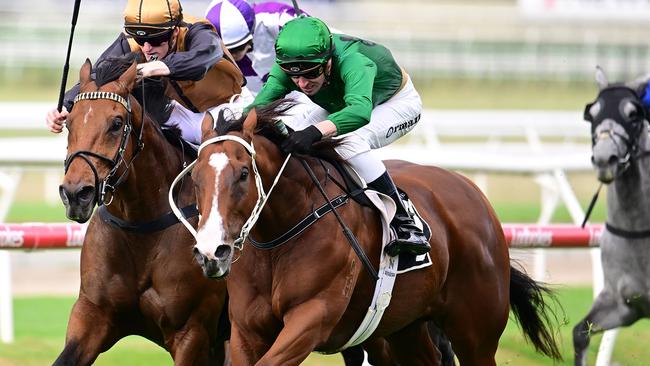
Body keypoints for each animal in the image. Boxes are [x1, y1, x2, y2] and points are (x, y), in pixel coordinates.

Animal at [54, 54, 229, 366]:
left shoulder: (193, 333)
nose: (76, 194)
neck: (141, 225)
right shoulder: (91, 314)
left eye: (116, 123)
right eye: (69, 122)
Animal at [185, 101, 560, 364]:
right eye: (194, 176)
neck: (278, 238)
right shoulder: (247, 330)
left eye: (243, 173)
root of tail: (473, 193)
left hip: (476, 331)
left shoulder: (312, 317)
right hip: (406, 327)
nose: (211, 252)